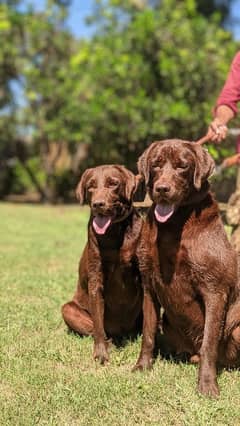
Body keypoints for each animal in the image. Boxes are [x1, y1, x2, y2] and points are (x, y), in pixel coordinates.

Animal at [62, 165, 143, 364]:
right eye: (90, 186)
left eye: (113, 183)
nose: (98, 204)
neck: (114, 232)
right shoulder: (95, 280)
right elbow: (98, 325)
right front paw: (101, 353)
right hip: (68, 309)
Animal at [133, 141, 240, 398]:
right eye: (156, 164)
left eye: (182, 166)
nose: (162, 188)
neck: (173, 226)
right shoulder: (149, 286)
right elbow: (147, 333)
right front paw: (142, 366)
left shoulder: (214, 291)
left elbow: (209, 342)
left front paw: (207, 385)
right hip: (169, 322)